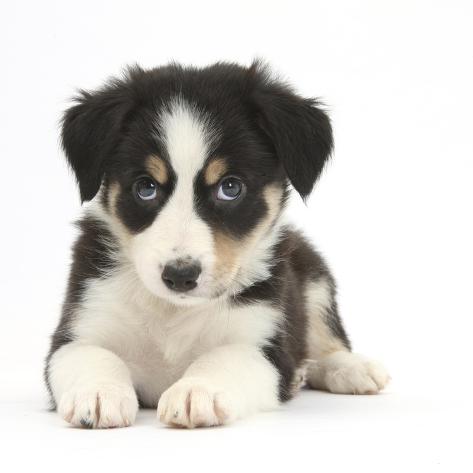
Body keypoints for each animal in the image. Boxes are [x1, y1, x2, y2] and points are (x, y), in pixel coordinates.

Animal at [45, 61, 388, 428]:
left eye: (230, 187)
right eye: (145, 187)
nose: (180, 276)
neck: (173, 312)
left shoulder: (263, 345)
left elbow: (224, 357)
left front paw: (197, 390)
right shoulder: (79, 326)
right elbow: (92, 355)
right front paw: (97, 393)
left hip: (314, 276)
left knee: (326, 340)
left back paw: (351, 368)